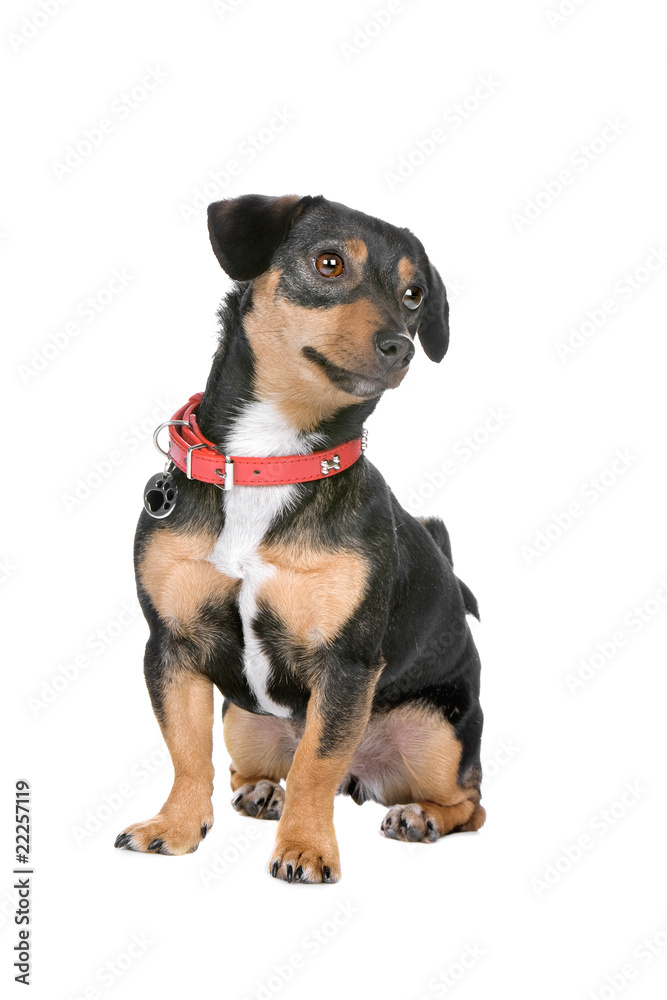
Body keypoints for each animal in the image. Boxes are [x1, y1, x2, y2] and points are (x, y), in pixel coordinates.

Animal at [115, 195, 486, 884]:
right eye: (329, 263)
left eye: (414, 295)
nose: (400, 346)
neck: (273, 457)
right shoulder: (173, 647)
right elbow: (187, 752)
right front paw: (176, 827)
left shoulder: (345, 666)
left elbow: (317, 763)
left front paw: (307, 848)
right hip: (245, 722)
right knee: (251, 767)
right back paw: (263, 793)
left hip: (435, 734)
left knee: (466, 801)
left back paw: (417, 816)